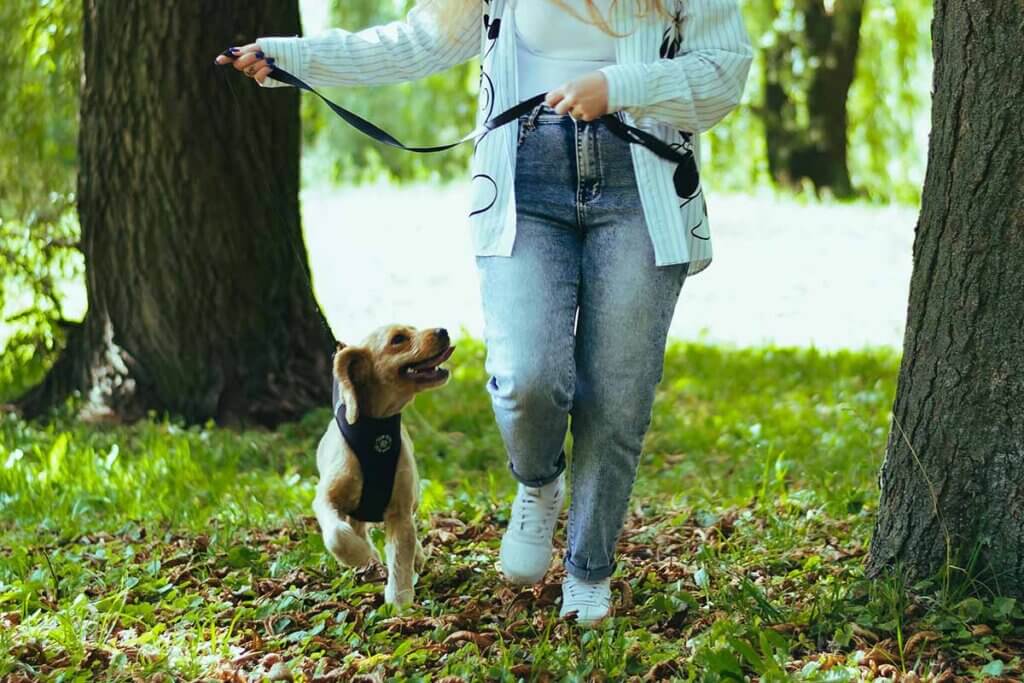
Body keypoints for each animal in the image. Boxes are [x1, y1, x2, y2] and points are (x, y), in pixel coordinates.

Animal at [313, 323, 454, 606]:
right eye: (398, 339)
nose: (443, 330)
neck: (376, 432)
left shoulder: (399, 510)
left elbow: (401, 556)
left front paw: (400, 603)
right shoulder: (325, 498)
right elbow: (337, 536)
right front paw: (361, 554)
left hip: (412, 499)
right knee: (354, 527)